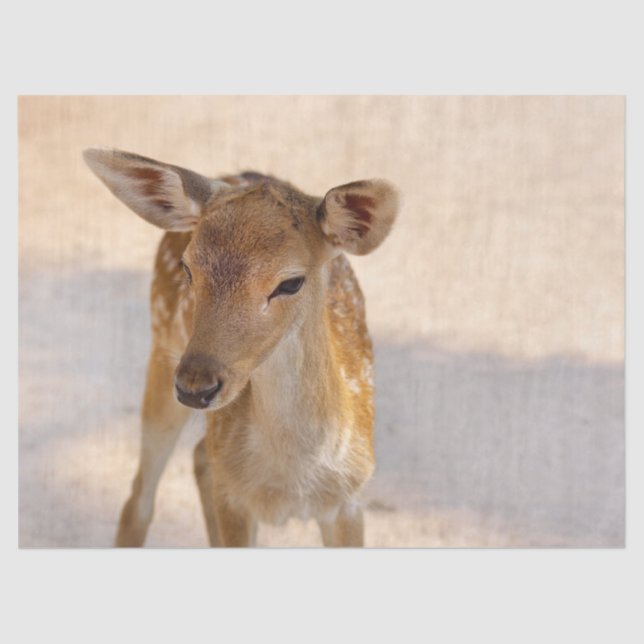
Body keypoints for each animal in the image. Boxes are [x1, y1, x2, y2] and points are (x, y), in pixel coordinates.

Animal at [83, 147, 400, 547]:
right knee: (140, 497)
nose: (195, 387)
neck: (292, 482)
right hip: (161, 351)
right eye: (188, 269)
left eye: (291, 282)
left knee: (200, 458)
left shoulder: (350, 500)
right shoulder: (235, 500)